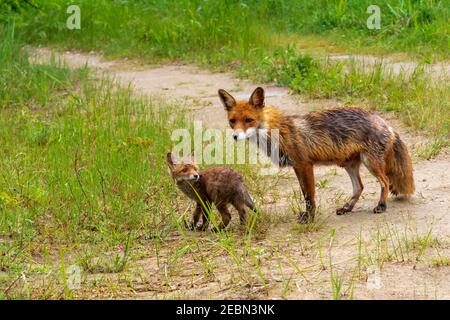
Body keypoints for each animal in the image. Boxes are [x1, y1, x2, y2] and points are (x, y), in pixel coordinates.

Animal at [218, 87, 414, 222]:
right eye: (232, 121)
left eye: (249, 120)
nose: (235, 136)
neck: (277, 132)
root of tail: (383, 121)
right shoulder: (297, 167)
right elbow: (305, 193)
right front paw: (307, 215)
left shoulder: (305, 165)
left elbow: (309, 196)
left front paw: (309, 218)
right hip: (349, 165)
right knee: (359, 187)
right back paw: (347, 208)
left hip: (370, 163)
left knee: (385, 182)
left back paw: (381, 205)